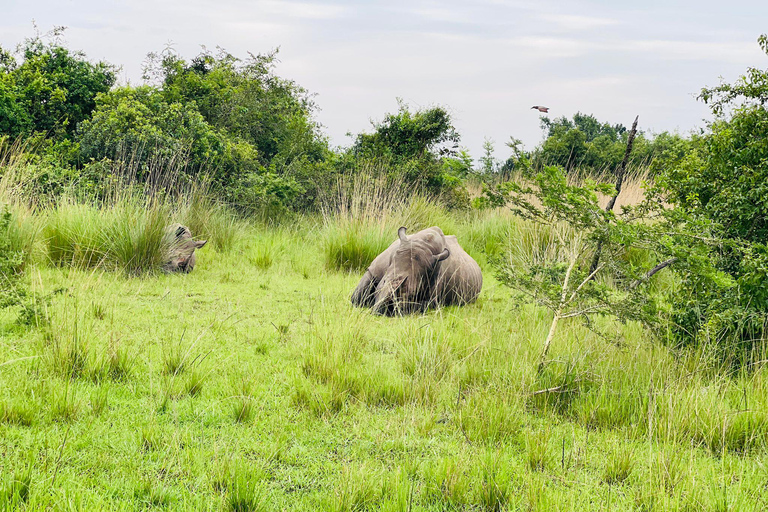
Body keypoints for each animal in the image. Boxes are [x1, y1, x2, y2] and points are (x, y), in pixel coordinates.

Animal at [351, 226, 482, 315]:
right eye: (383, 283)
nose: (384, 308)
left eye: (412, 294)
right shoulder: (373, 269)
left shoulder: (432, 298)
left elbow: (420, 305)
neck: (422, 243)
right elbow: (356, 296)